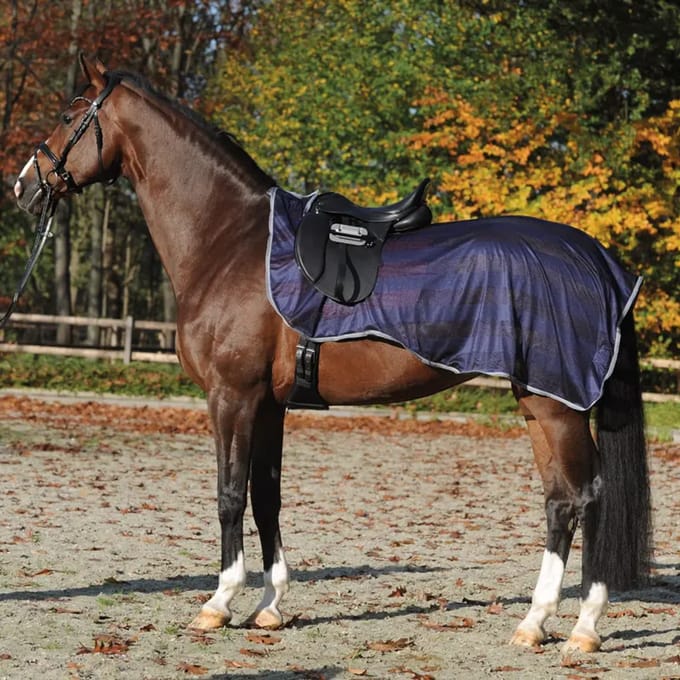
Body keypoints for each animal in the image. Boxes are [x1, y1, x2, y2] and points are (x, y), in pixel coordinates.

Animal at [13, 55, 651, 654]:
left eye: (69, 115)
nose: (24, 186)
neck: (230, 241)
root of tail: (596, 259)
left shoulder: (232, 397)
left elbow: (229, 495)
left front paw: (218, 603)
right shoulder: (269, 405)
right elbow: (266, 498)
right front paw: (269, 606)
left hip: (558, 406)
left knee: (588, 497)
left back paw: (584, 627)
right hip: (538, 401)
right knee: (560, 500)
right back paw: (534, 622)